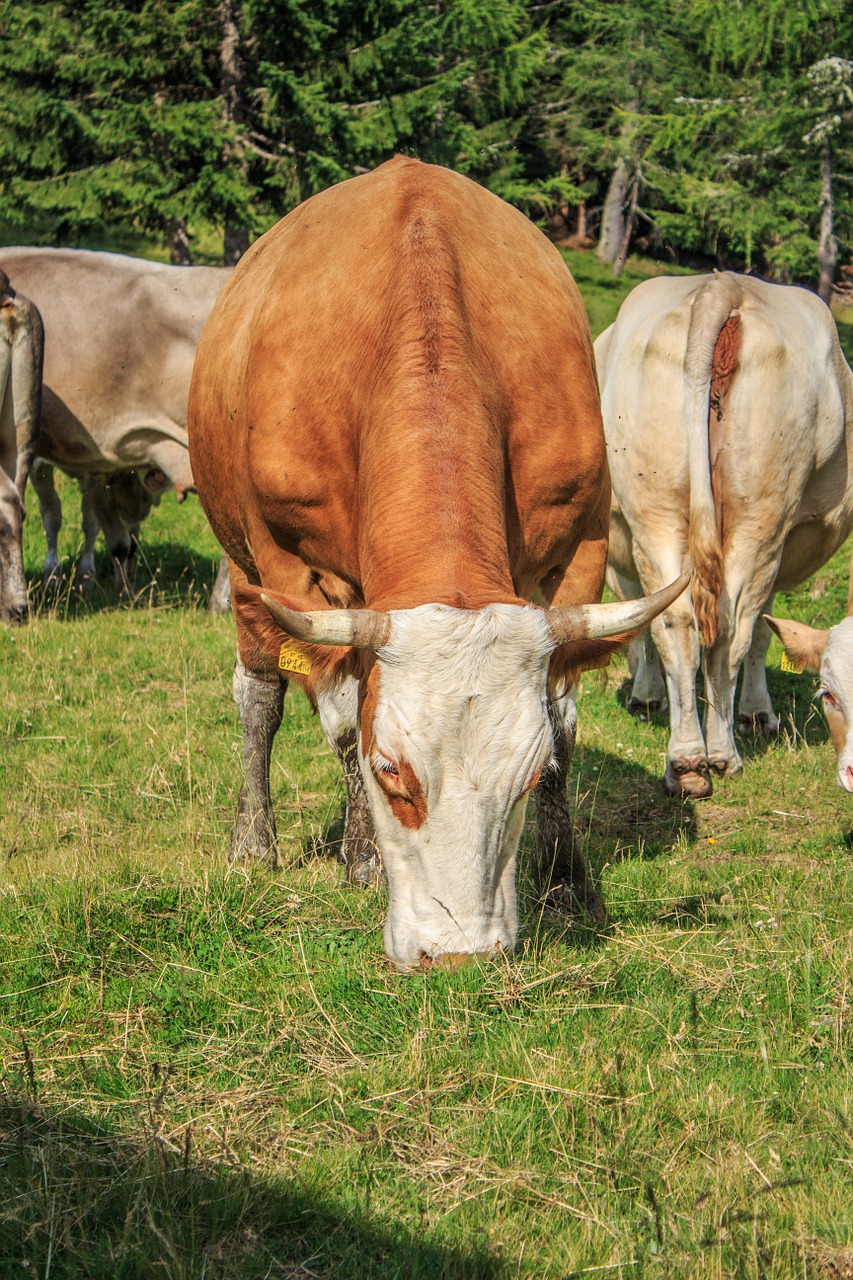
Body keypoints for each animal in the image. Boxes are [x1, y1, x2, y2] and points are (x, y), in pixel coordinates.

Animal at [185, 154, 676, 962]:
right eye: (392, 773)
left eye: (526, 776)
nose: (459, 953)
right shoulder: (296, 571)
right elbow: (343, 722)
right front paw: (361, 857)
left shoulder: (577, 554)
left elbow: (564, 722)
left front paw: (567, 876)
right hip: (247, 571)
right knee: (259, 696)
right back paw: (254, 842)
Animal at [594, 273, 850, 793]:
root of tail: (723, 285)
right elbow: (764, 632)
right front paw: (753, 712)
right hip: (761, 517)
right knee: (733, 630)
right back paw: (721, 752)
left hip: (657, 510)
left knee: (678, 623)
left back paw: (690, 761)